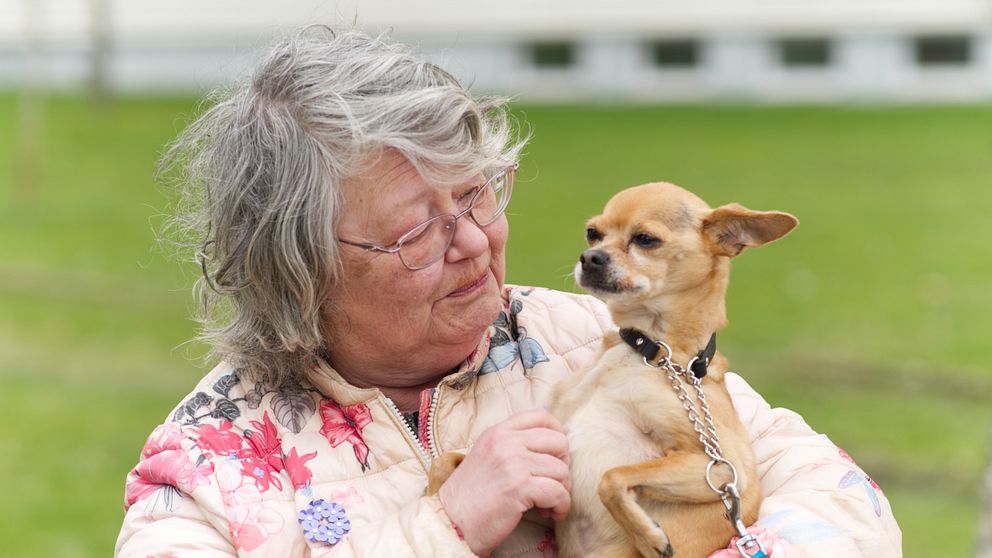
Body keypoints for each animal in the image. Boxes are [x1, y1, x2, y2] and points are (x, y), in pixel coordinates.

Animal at [552, 182, 800, 556]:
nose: (590, 257)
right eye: (592, 233)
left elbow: (612, 477)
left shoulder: (722, 468)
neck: (651, 350)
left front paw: (648, 536)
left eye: (645, 239)